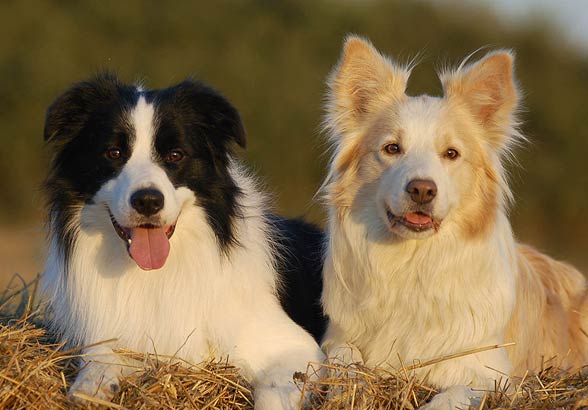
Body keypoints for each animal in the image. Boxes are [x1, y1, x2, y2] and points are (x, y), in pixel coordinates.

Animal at [41, 74, 326, 410]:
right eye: (113, 153)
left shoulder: (297, 350)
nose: (148, 201)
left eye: (175, 155)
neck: (156, 274)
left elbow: (270, 393)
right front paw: (93, 385)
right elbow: (99, 354)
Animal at [320, 36, 588, 408]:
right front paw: (350, 391)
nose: (422, 189)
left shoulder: (488, 372)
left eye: (451, 154)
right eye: (392, 148)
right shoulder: (338, 336)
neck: (413, 262)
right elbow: (345, 360)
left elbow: (449, 397)